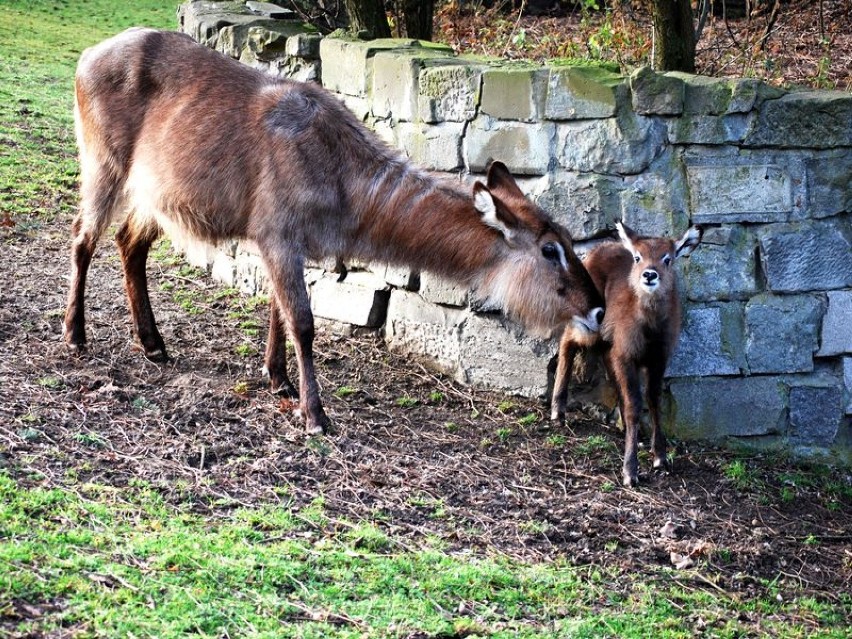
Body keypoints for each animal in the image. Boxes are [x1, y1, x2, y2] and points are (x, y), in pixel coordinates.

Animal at [61, 28, 604, 436]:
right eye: (551, 249)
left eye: (570, 239)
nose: (598, 307)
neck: (343, 174)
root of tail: (87, 55)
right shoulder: (278, 234)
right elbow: (302, 321)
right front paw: (315, 414)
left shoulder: (287, 244)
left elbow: (278, 311)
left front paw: (278, 379)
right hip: (104, 166)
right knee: (82, 237)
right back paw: (75, 334)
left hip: (156, 197)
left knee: (128, 244)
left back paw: (153, 344)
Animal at [548, 222, 704, 488]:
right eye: (638, 257)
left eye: (667, 258)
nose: (649, 274)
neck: (650, 331)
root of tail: (596, 249)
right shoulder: (626, 353)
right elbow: (634, 404)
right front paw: (630, 472)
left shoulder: (658, 358)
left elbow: (653, 400)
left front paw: (660, 457)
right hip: (591, 327)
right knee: (567, 339)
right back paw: (557, 411)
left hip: (609, 341)